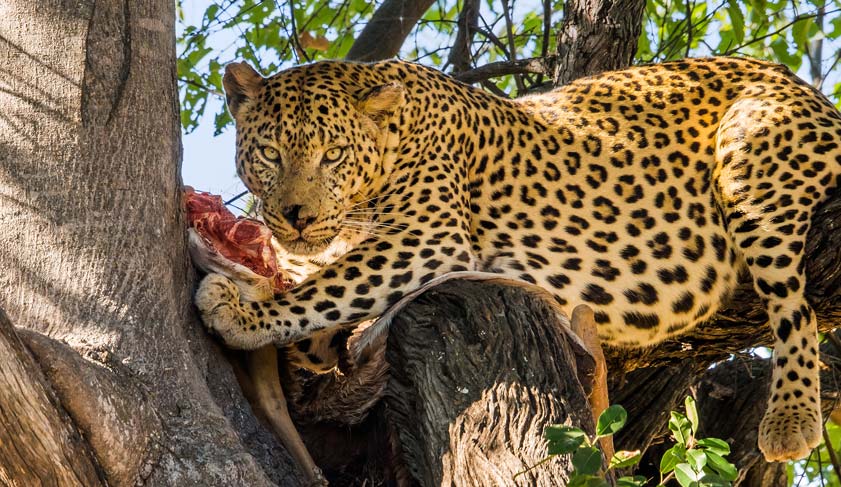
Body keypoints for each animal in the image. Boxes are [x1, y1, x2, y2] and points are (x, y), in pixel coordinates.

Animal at [195, 56, 841, 462]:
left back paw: (791, 422)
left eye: (332, 155)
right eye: (271, 154)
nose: (296, 216)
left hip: (753, 165)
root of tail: (797, 81)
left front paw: (243, 312)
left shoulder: (428, 237)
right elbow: (317, 306)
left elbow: (328, 288)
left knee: (797, 309)